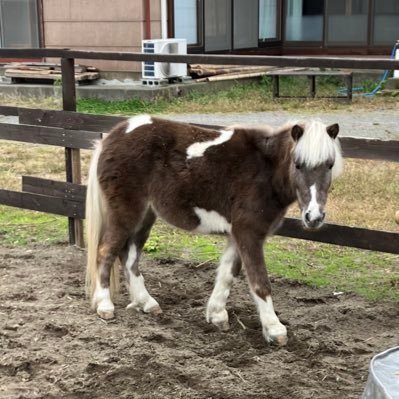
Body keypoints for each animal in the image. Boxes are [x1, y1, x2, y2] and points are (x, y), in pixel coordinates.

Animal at [85, 115, 344, 346]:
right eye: (298, 164)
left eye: (329, 165)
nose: (314, 217)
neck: (265, 170)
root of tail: (112, 136)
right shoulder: (249, 233)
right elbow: (259, 281)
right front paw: (274, 330)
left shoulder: (237, 235)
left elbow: (228, 273)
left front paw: (217, 315)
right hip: (126, 213)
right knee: (106, 252)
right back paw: (105, 306)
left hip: (145, 216)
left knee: (128, 256)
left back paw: (147, 303)